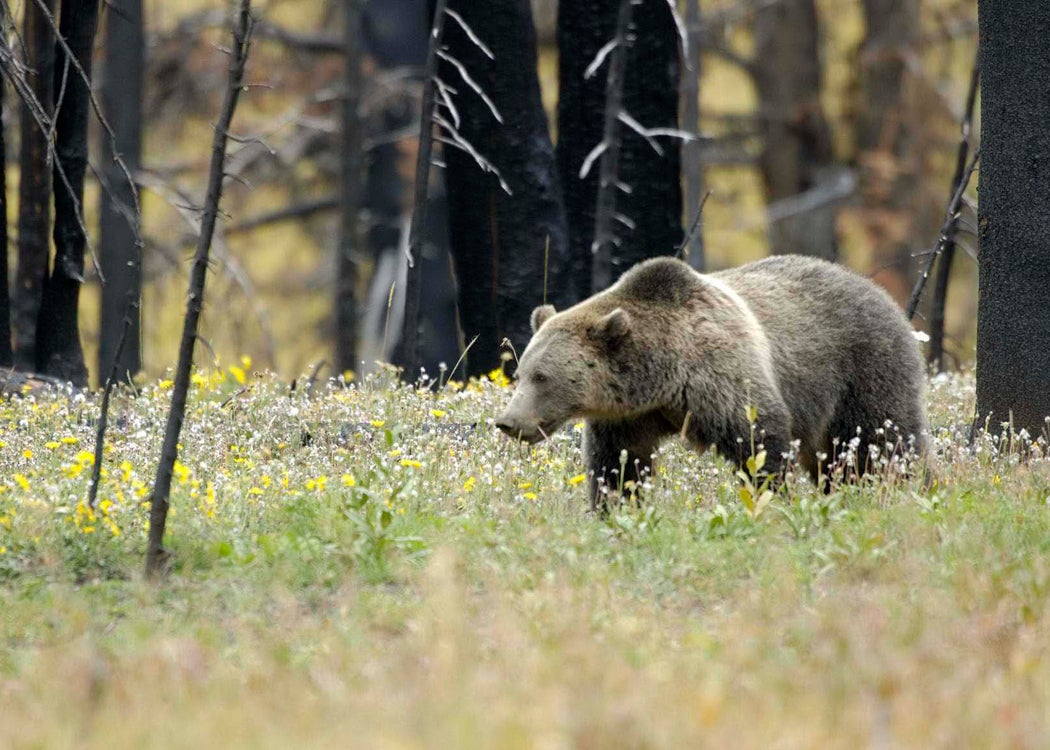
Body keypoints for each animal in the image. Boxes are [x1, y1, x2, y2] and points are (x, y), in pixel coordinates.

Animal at [495, 255, 928, 508]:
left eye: (542, 376)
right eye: (519, 373)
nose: (508, 422)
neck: (661, 377)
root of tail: (880, 292)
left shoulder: (720, 377)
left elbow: (759, 442)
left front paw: (772, 499)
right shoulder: (628, 417)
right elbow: (619, 464)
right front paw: (617, 507)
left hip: (862, 368)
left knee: (880, 443)